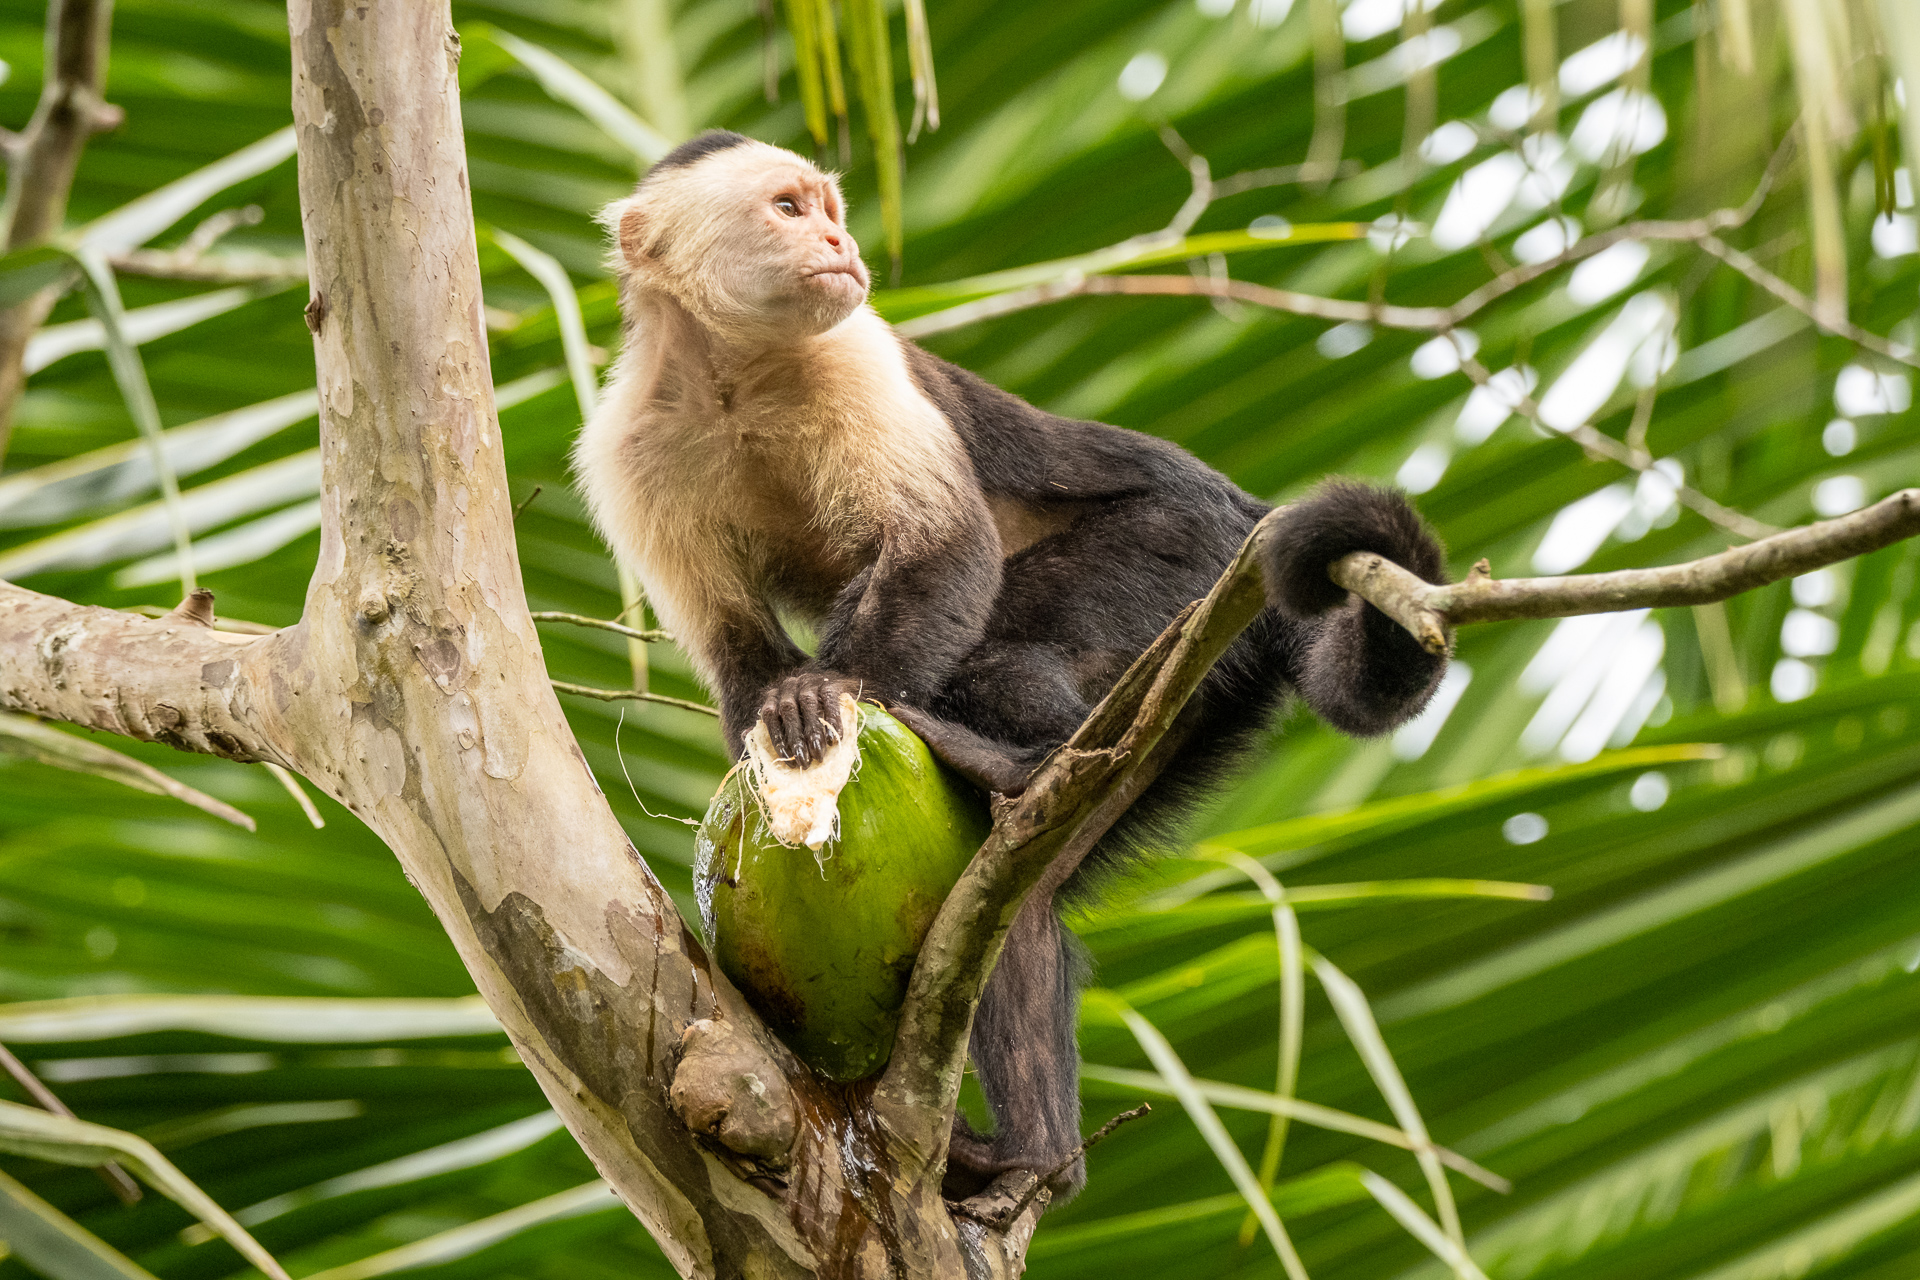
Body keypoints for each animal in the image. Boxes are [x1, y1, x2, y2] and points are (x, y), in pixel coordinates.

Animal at [576, 130, 1443, 1205]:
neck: (734, 371)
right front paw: (767, 736)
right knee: (1014, 906)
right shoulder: (630, 448)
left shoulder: (854, 356)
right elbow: (737, 647)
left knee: (1005, 657)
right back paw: (1033, 1150)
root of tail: (1241, 517)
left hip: (1178, 558)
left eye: (828, 208)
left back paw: (1018, 762)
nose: (839, 242)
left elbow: (943, 548)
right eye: (787, 208)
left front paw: (843, 695)